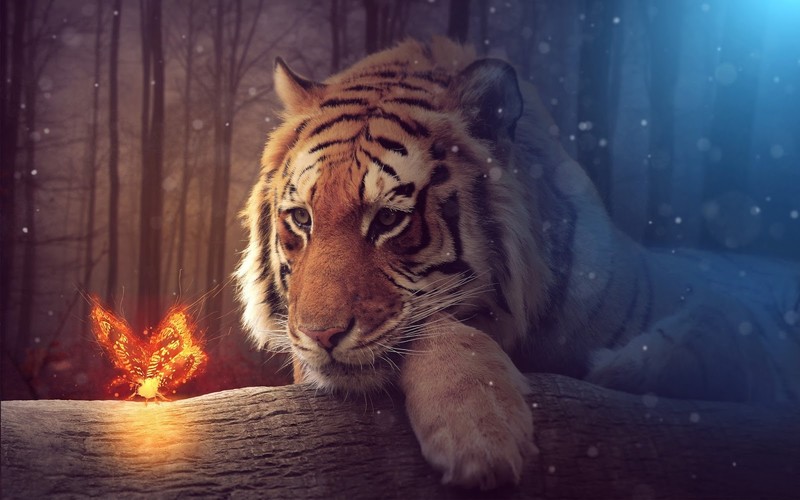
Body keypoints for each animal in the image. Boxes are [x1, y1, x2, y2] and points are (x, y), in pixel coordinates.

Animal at [235, 38, 800, 489]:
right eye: (302, 219)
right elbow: (435, 324)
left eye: (389, 219)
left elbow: (715, 330)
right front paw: (480, 435)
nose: (320, 335)